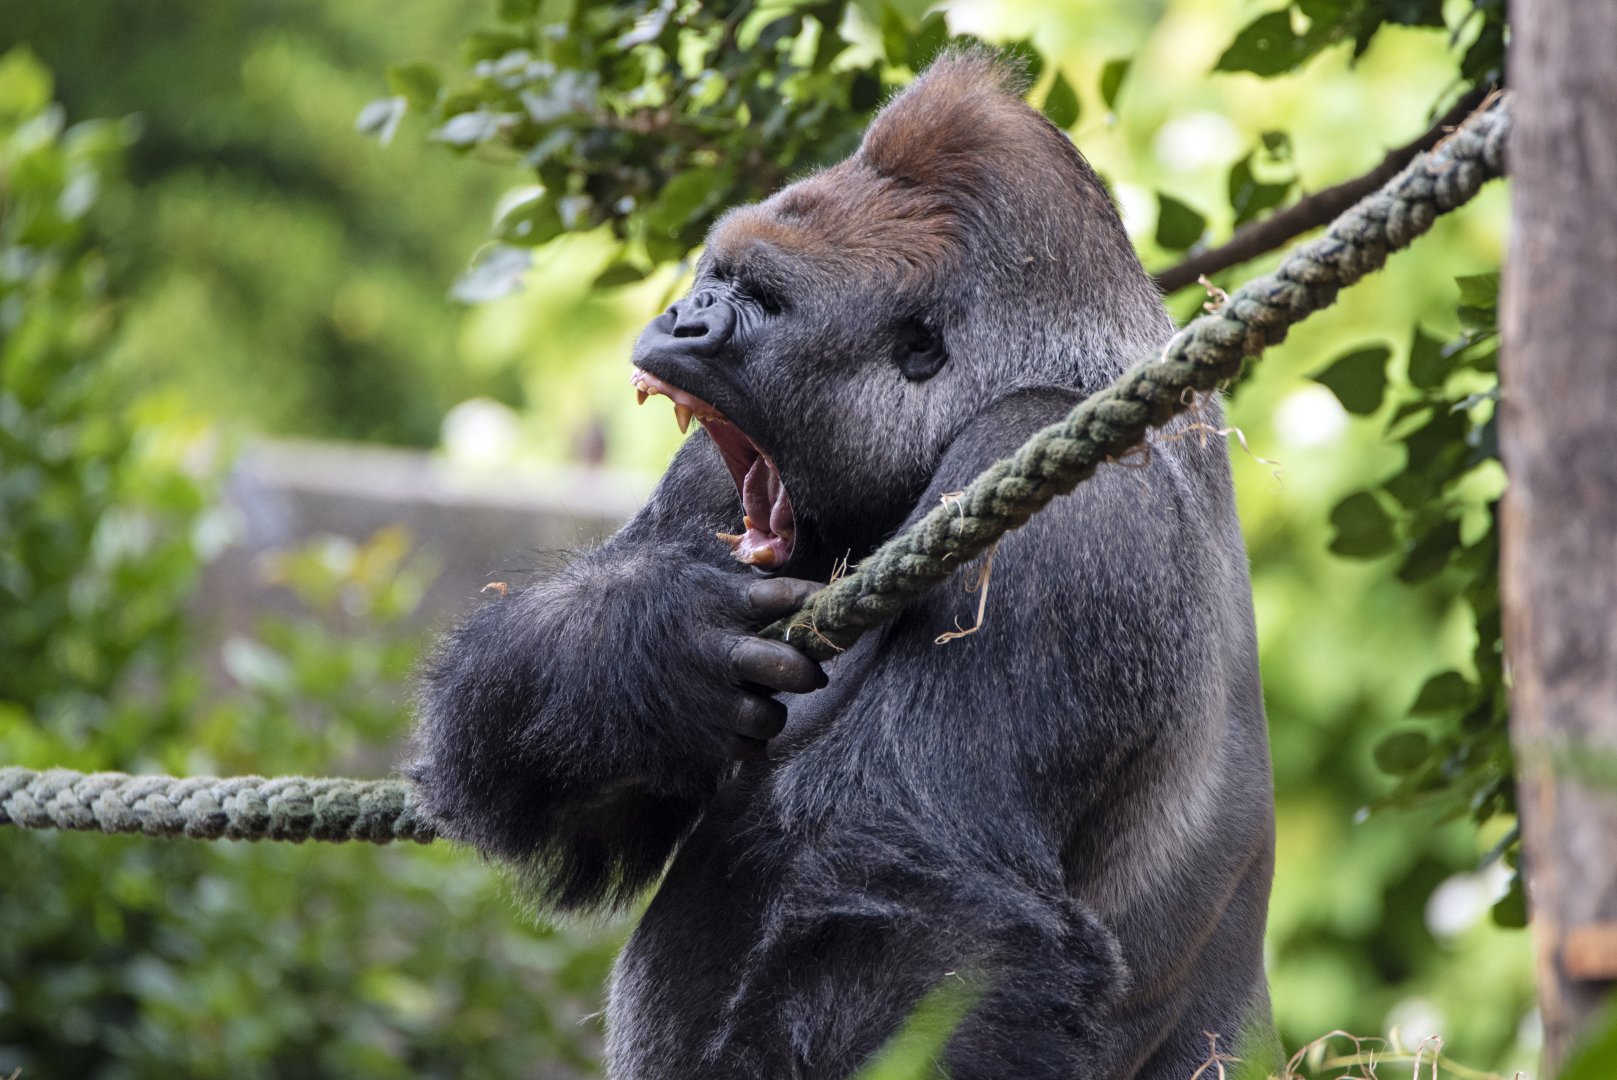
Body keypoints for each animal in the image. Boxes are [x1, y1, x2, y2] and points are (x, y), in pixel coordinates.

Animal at [410, 49, 1276, 1080]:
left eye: (764, 299)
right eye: (715, 275)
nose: (682, 318)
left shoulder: (1050, 490)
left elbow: (931, 911)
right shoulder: (718, 473)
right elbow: (586, 798)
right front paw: (651, 648)